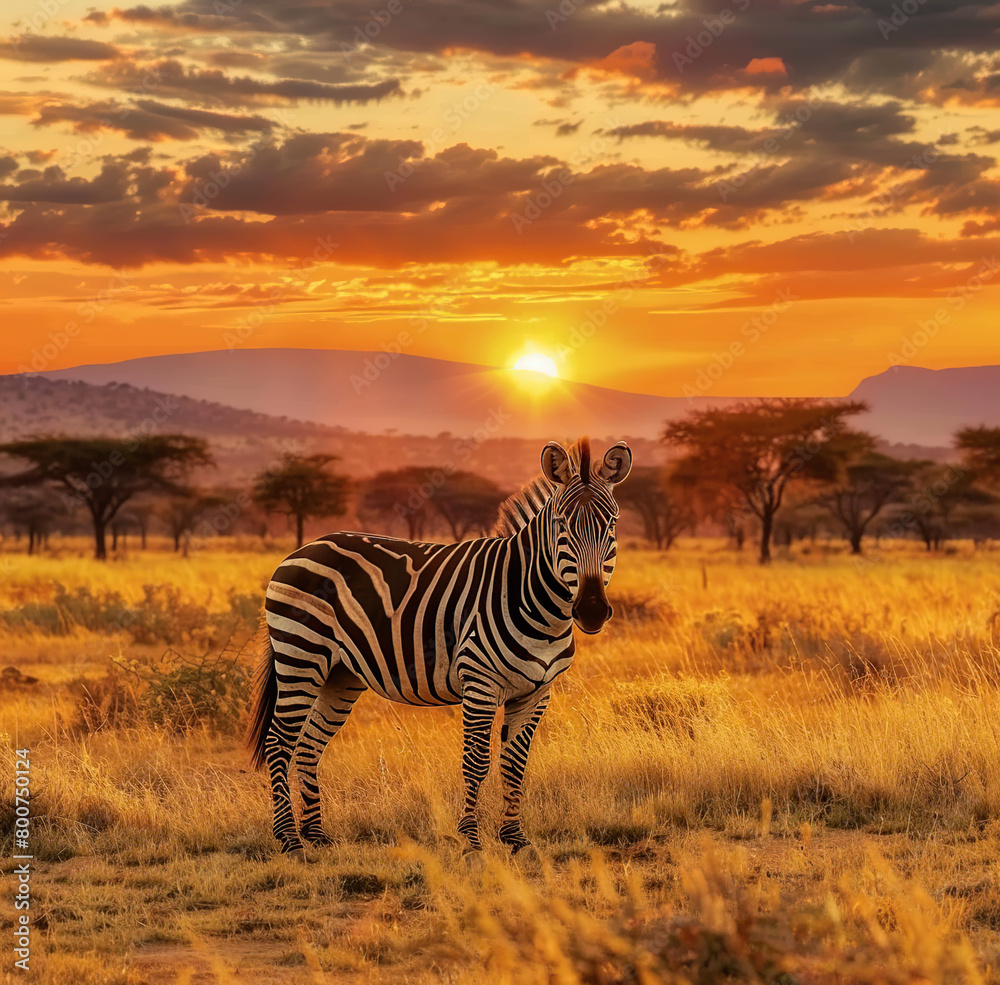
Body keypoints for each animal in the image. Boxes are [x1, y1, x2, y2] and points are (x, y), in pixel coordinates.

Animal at [246, 436, 632, 859]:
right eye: (562, 525)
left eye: (612, 523)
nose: (592, 610)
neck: (535, 602)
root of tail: (305, 548)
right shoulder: (480, 683)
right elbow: (477, 761)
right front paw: (472, 841)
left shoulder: (536, 692)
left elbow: (515, 763)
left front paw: (515, 839)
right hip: (301, 656)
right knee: (279, 742)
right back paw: (288, 838)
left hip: (340, 674)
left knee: (309, 744)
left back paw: (315, 834)